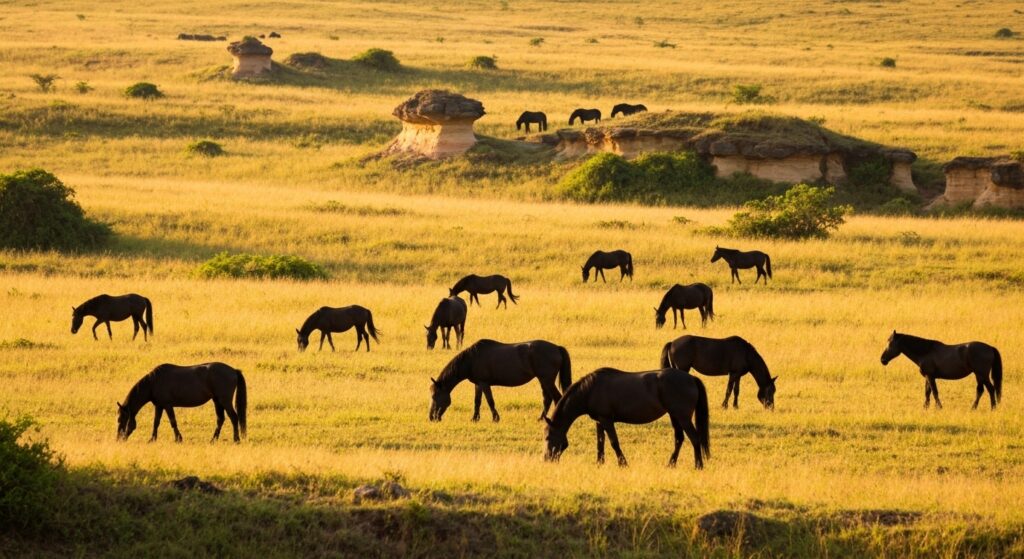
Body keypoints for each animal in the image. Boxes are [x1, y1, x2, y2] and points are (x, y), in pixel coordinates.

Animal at [116, 362, 247, 443]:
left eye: (121, 420)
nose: (119, 439)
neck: (153, 382)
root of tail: (233, 371)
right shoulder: (159, 406)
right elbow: (156, 422)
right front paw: (152, 439)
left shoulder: (168, 405)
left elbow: (173, 422)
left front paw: (178, 438)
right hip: (217, 401)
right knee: (220, 419)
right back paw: (213, 440)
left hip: (225, 401)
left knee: (234, 418)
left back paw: (236, 440)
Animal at [429, 339, 572, 422]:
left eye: (435, 396)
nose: (431, 417)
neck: (471, 359)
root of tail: (556, 348)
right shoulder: (478, 384)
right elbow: (477, 401)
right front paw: (475, 418)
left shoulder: (484, 383)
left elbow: (490, 401)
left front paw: (495, 418)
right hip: (543, 380)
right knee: (547, 399)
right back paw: (541, 418)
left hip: (546, 380)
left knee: (556, 397)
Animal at [544, 367, 710, 469]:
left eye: (547, 437)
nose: (546, 459)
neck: (590, 390)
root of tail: (691, 378)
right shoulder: (599, 421)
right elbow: (600, 443)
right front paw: (599, 463)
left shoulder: (606, 420)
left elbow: (613, 442)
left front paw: (623, 463)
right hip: (674, 416)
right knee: (679, 439)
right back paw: (671, 464)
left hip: (683, 418)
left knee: (695, 438)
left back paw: (698, 466)